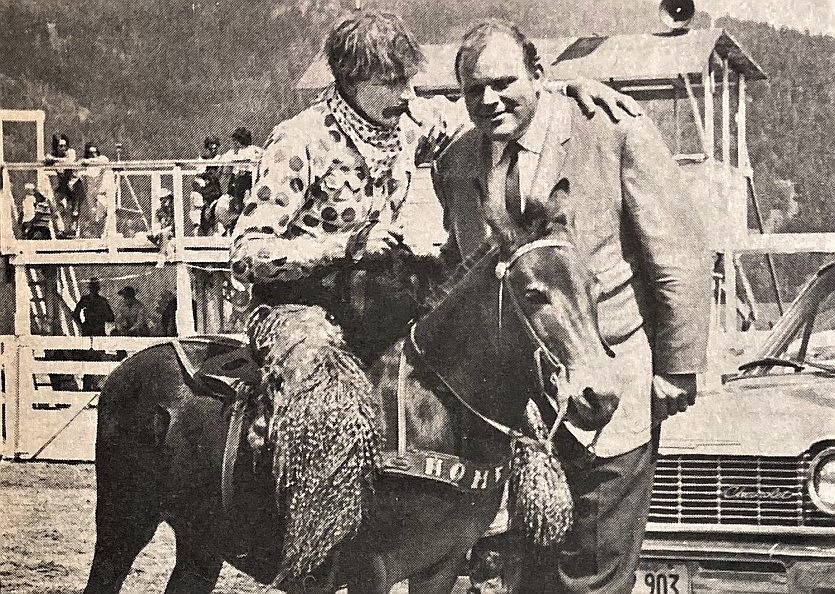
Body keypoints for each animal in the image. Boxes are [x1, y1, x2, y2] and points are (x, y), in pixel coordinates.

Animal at [83, 214, 620, 592]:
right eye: (533, 293)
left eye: (595, 289)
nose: (601, 396)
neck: (436, 410)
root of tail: (122, 373)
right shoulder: (371, 568)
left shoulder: (442, 565)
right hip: (121, 523)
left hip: (200, 540)